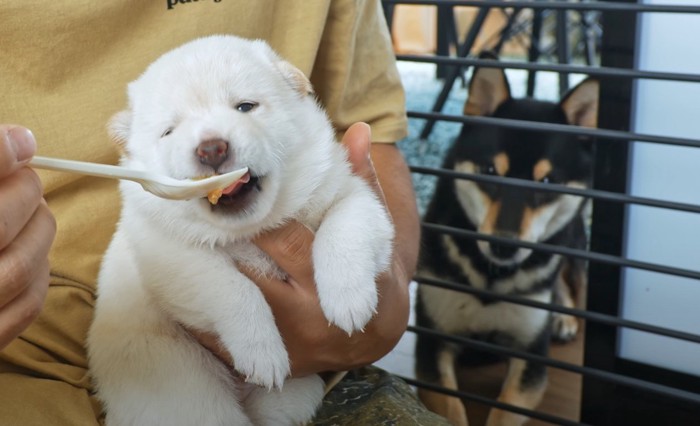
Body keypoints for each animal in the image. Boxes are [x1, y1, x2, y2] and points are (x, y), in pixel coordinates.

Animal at [87, 35, 394, 426]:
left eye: (245, 106)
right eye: (169, 131)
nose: (211, 147)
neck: (252, 228)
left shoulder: (354, 195)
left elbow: (344, 228)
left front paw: (348, 301)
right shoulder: (170, 253)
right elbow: (232, 287)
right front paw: (263, 353)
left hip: (293, 397)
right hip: (187, 393)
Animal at [412, 57, 600, 426]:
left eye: (547, 181)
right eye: (489, 171)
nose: (504, 245)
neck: (491, 276)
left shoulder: (531, 356)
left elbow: (505, 411)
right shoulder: (432, 343)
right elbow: (451, 409)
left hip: (570, 245)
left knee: (568, 281)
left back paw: (564, 317)